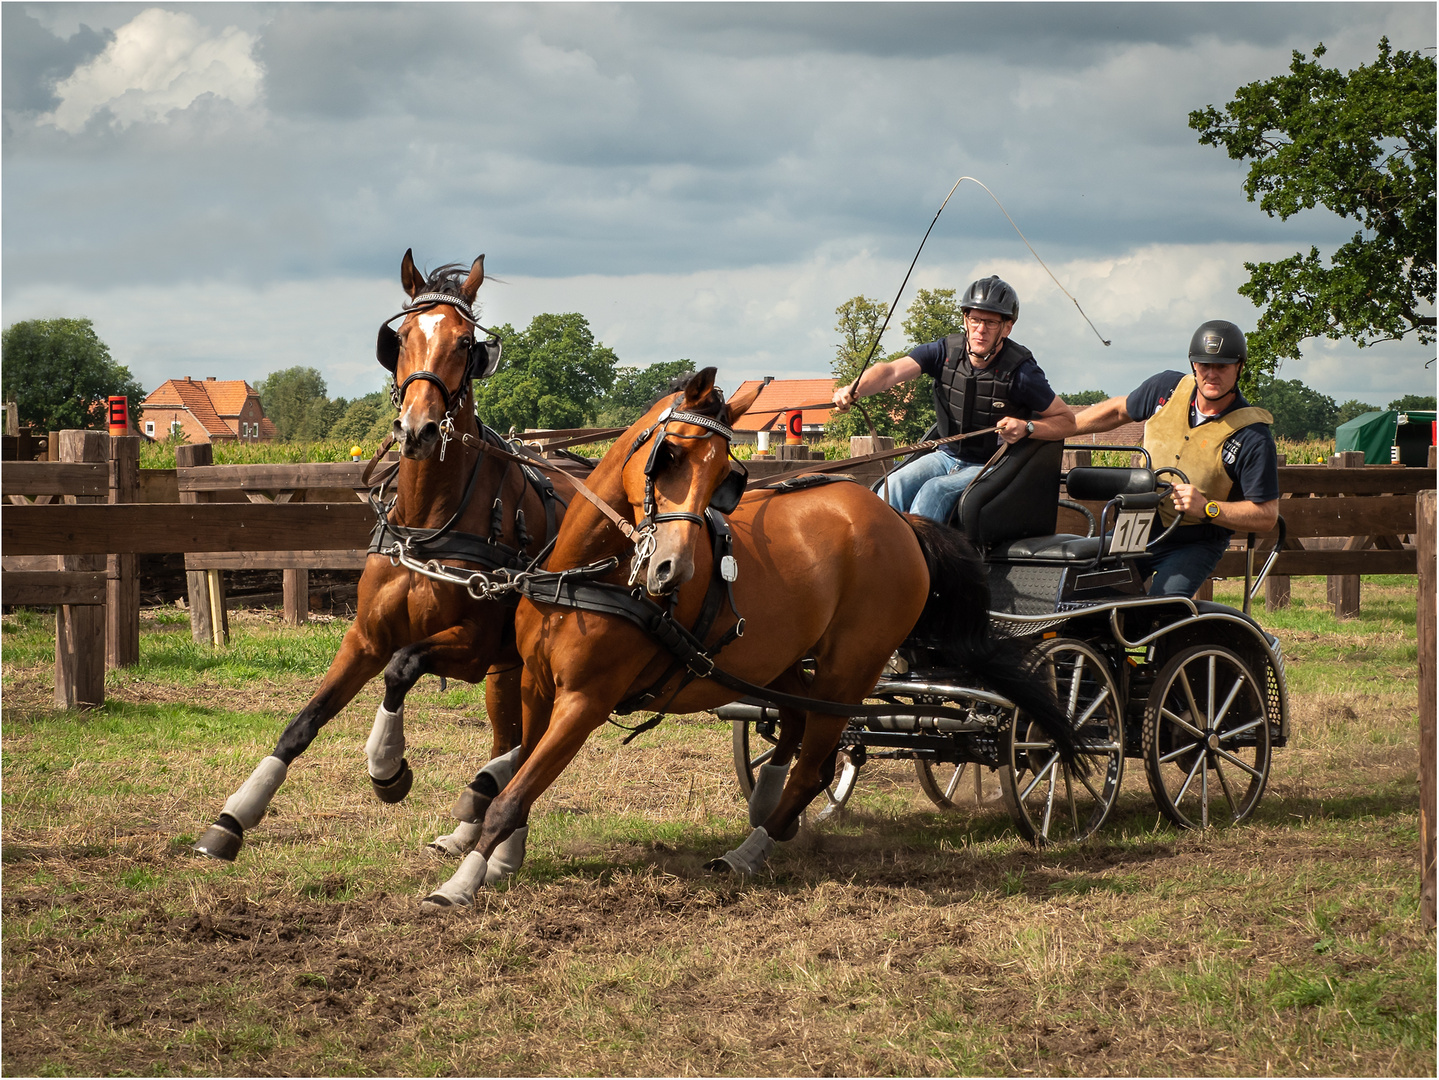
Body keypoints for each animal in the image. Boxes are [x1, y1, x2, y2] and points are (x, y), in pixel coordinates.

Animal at [195, 248, 561, 874]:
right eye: (402, 336)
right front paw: (233, 817)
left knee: (526, 748)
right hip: (507, 672)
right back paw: (467, 832)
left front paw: (387, 768)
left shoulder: (472, 646)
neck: (430, 523)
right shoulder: (365, 636)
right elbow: (305, 721)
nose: (417, 430)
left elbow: (401, 667)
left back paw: (492, 825)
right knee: (510, 738)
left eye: (466, 342)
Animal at [420, 368, 1082, 908]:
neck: (589, 574)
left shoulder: (586, 700)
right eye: (668, 457)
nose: (673, 571)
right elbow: (517, 768)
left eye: (728, 475)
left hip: (850, 666)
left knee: (817, 757)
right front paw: (495, 849)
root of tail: (898, 520)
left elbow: (519, 787)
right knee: (794, 723)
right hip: (780, 657)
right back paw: (767, 804)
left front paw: (462, 882)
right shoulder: (536, 683)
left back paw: (752, 848)